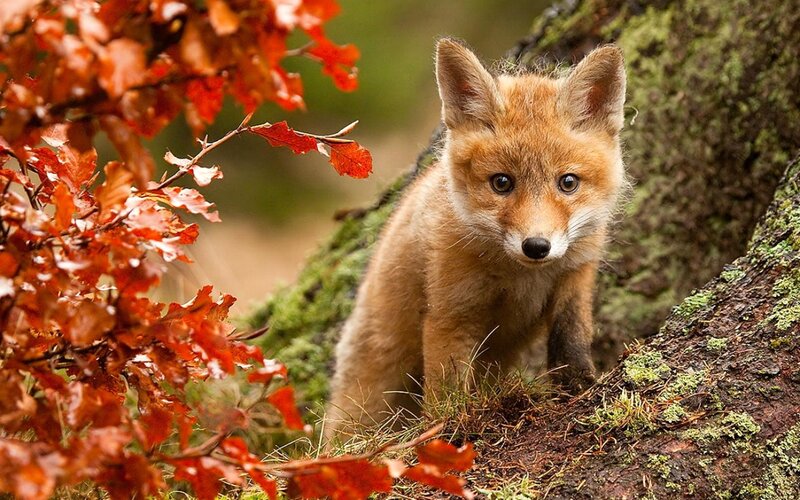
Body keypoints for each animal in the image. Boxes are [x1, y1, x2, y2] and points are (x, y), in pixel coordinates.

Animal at [326, 39, 627, 440]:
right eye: (501, 183)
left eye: (568, 182)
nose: (536, 246)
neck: (522, 278)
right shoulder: (451, 313)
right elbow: (447, 389)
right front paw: (447, 430)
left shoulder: (575, 278)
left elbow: (571, 340)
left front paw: (580, 387)